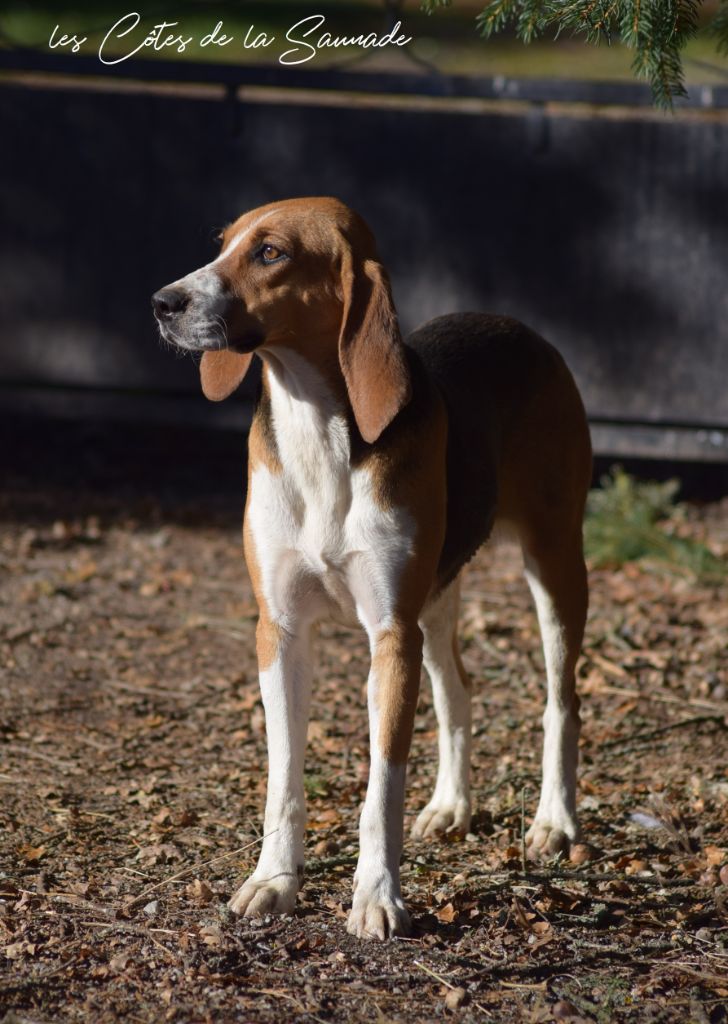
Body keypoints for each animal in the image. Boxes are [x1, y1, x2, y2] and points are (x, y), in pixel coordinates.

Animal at [152, 195, 593, 937]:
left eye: (270, 253)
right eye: (222, 243)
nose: (163, 302)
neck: (316, 428)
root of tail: (519, 327)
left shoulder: (390, 636)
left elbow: (381, 786)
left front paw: (377, 896)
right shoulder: (282, 633)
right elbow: (283, 780)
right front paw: (273, 881)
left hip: (554, 564)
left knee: (562, 702)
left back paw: (555, 821)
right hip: (436, 601)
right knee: (458, 688)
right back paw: (452, 805)